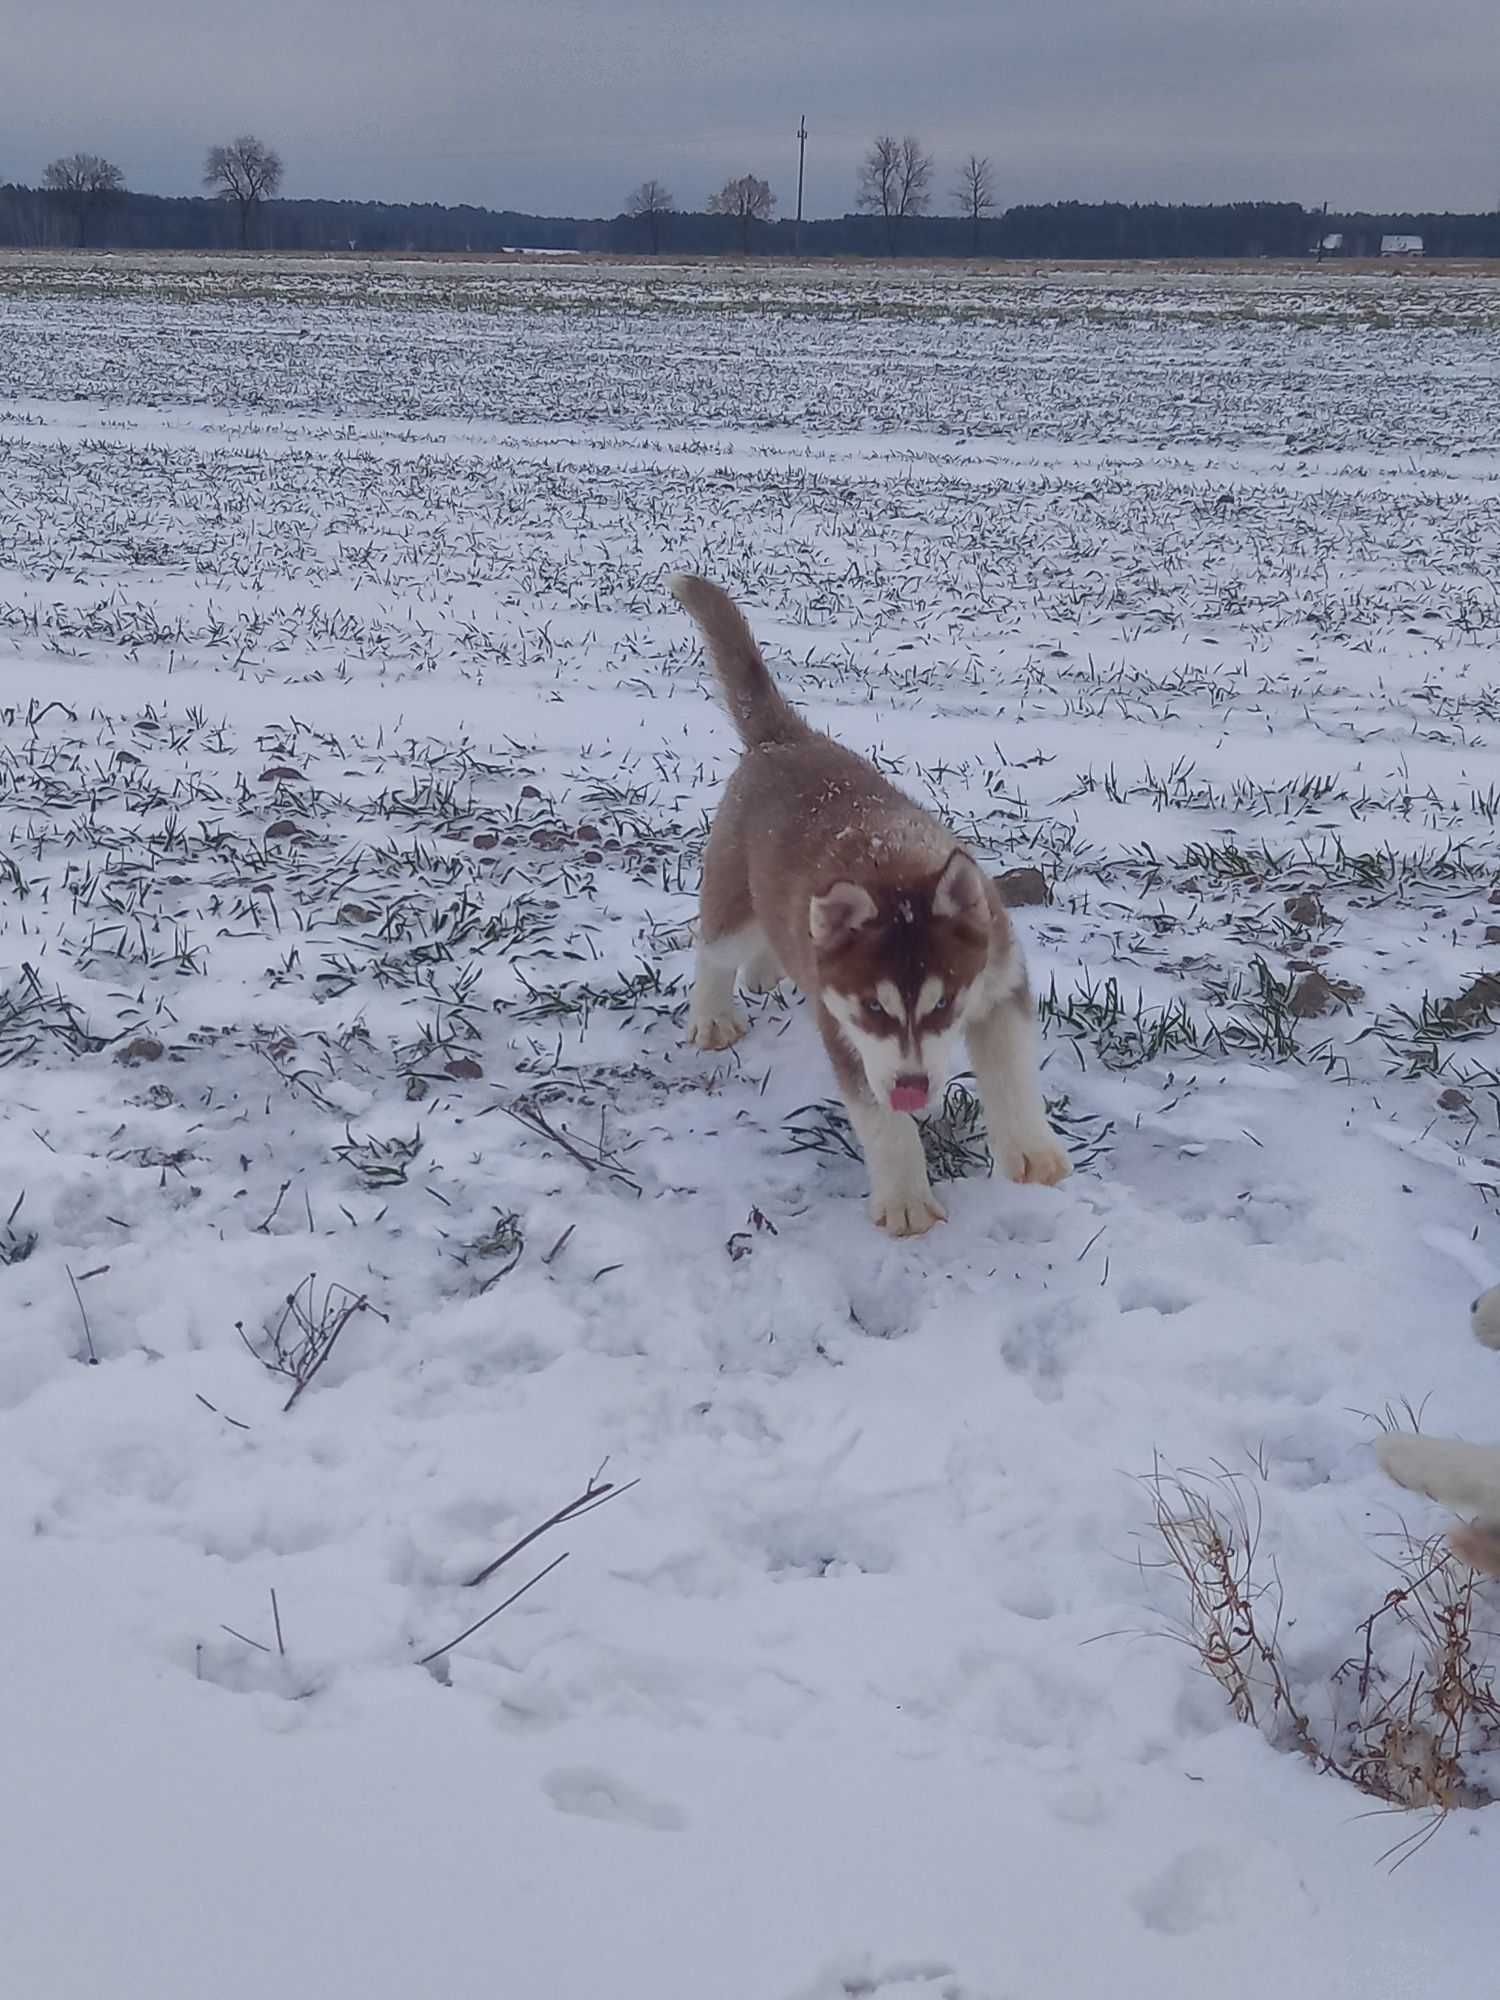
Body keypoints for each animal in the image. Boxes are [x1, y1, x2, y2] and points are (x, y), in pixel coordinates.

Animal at [668, 572, 1072, 1232]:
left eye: (943, 1004)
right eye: (875, 1009)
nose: (913, 1088)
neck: (895, 867)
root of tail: (785, 739)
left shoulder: (999, 979)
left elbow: (1012, 1072)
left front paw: (1032, 1153)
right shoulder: (845, 1030)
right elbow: (882, 1122)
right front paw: (906, 1201)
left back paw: (766, 970)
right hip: (731, 895)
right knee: (713, 947)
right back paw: (712, 1015)